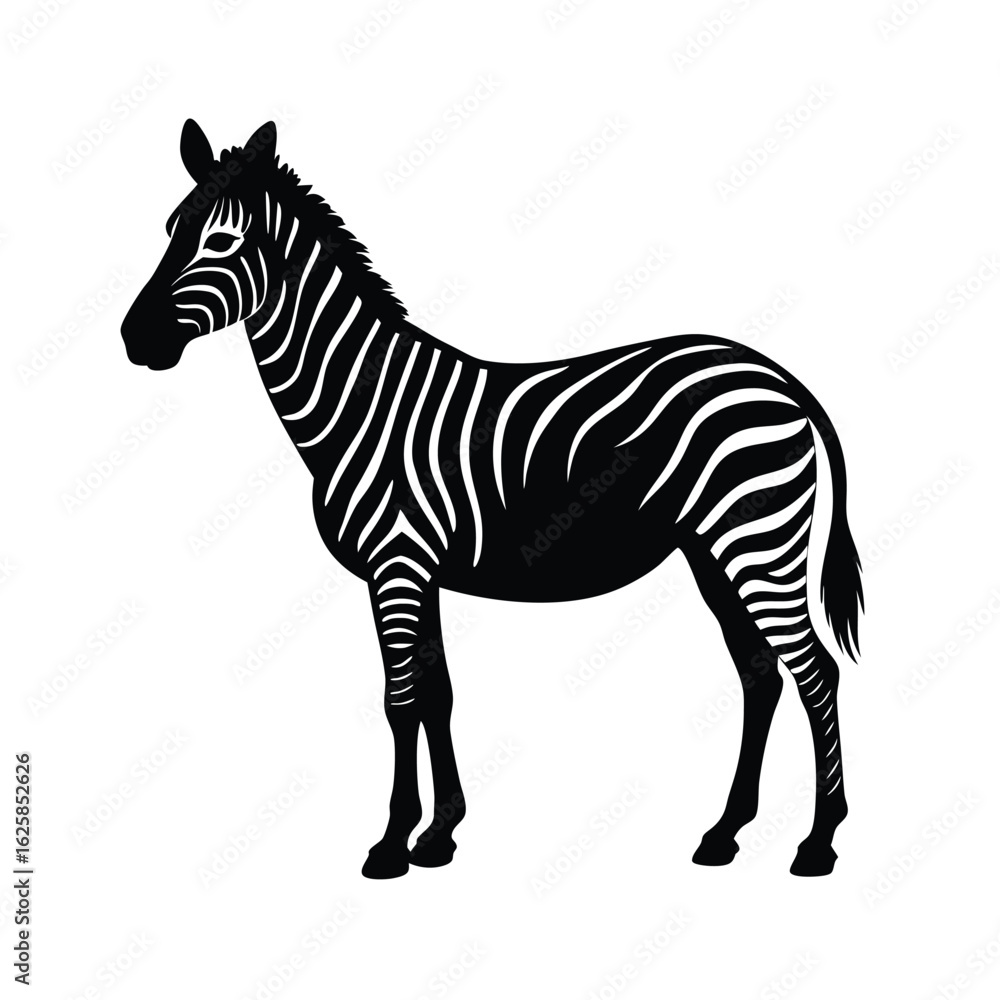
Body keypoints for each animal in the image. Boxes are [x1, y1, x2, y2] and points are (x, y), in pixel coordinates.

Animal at [121, 120, 863, 879]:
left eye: (220, 242)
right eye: (170, 228)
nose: (133, 338)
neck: (364, 401)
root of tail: (778, 376)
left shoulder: (396, 564)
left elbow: (400, 701)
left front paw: (390, 844)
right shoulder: (419, 573)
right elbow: (437, 695)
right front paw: (439, 835)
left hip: (757, 543)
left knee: (817, 673)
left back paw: (819, 843)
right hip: (714, 552)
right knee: (761, 675)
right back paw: (724, 833)